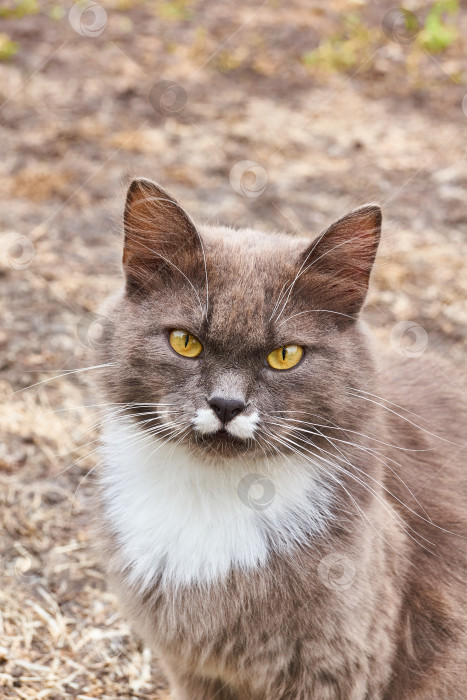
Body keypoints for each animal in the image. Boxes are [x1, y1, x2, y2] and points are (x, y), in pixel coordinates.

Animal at [89, 178, 466, 696]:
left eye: (285, 355)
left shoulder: (337, 667)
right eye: (185, 342)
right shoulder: (193, 669)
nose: (227, 404)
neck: (215, 493)